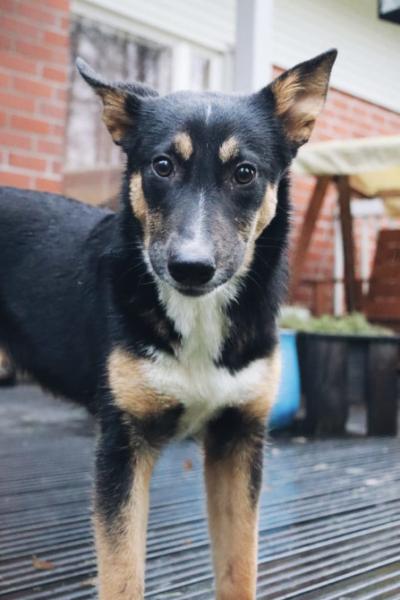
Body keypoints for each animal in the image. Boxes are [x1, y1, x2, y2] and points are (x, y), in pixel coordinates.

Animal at [0, 49, 336, 599]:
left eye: (245, 173)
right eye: (162, 166)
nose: (191, 268)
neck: (196, 317)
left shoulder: (237, 441)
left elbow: (240, 569)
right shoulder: (122, 448)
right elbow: (122, 575)